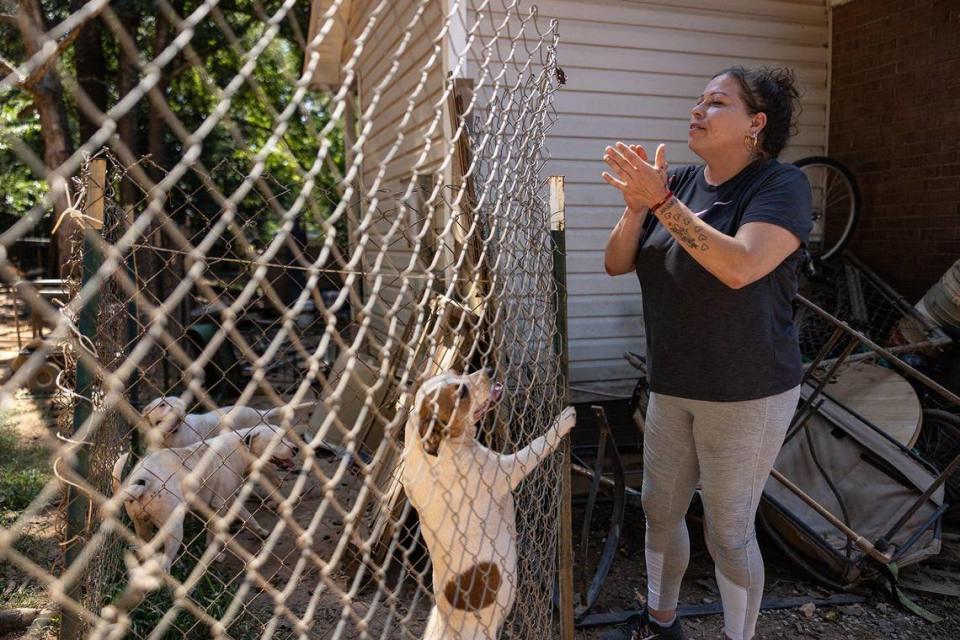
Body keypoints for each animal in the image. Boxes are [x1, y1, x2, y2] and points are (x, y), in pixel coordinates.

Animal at [109, 424, 298, 568]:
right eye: (277, 441)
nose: (296, 448)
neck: (240, 449)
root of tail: (144, 481)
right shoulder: (219, 505)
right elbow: (213, 534)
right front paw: (215, 554)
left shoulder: (228, 499)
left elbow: (247, 516)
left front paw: (261, 531)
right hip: (174, 528)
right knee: (165, 564)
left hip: (142, 527)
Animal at [400, 368, 572, 640]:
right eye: (461, 392)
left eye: (455, 371)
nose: (489, 371)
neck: (444, 448)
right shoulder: (509, 470)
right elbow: (539, 444)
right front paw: (563, 422)